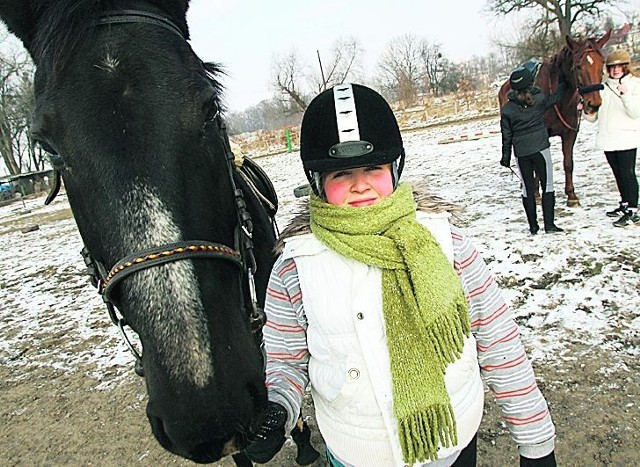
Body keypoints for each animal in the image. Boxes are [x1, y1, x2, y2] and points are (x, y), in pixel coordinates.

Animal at [498, 31, 612, 207]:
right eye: (578, 66)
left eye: (602, 63)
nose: (593, 104)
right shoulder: (541, 135)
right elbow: (538, 165)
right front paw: (536, 193)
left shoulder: (570, 134)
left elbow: (568, 163)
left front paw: (571, 196)